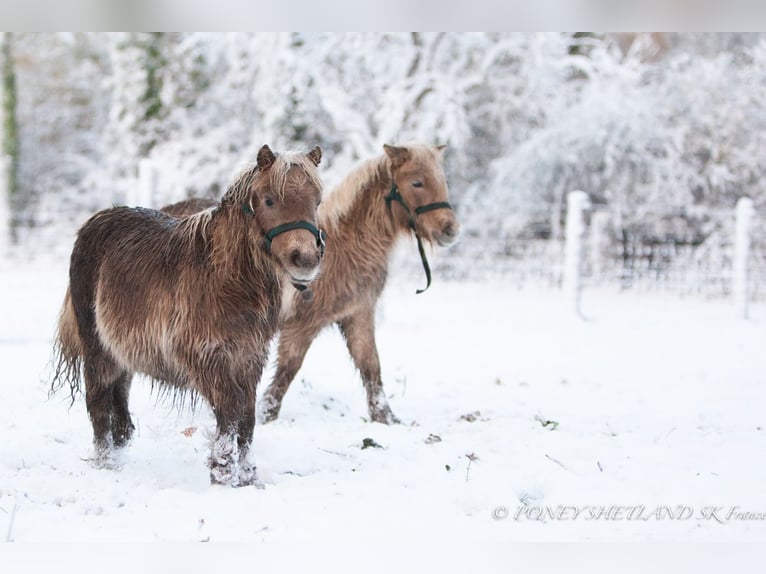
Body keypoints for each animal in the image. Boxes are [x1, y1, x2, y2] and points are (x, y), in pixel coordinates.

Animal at [50, 146, 328, 488]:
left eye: (317, 201)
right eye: (269, 200)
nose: (305, 259)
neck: (225, 277)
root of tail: (97, 221)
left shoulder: (249, 357)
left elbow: (247, 418)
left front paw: (247, 477)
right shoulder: (206, 357)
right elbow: (230, 410)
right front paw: (222, 472)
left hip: (122, 352)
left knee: (120, 405)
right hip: (97, 351)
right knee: (99, 406)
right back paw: (107, 465)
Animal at [165, 143, 460, 424]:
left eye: (441, 179)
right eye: (417, 182)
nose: (450, 230)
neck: (346, 246)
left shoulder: (358, 315)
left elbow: (371, 365)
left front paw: (385, 418)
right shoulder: (301, 326)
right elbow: (287, 370)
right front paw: (266, 415)